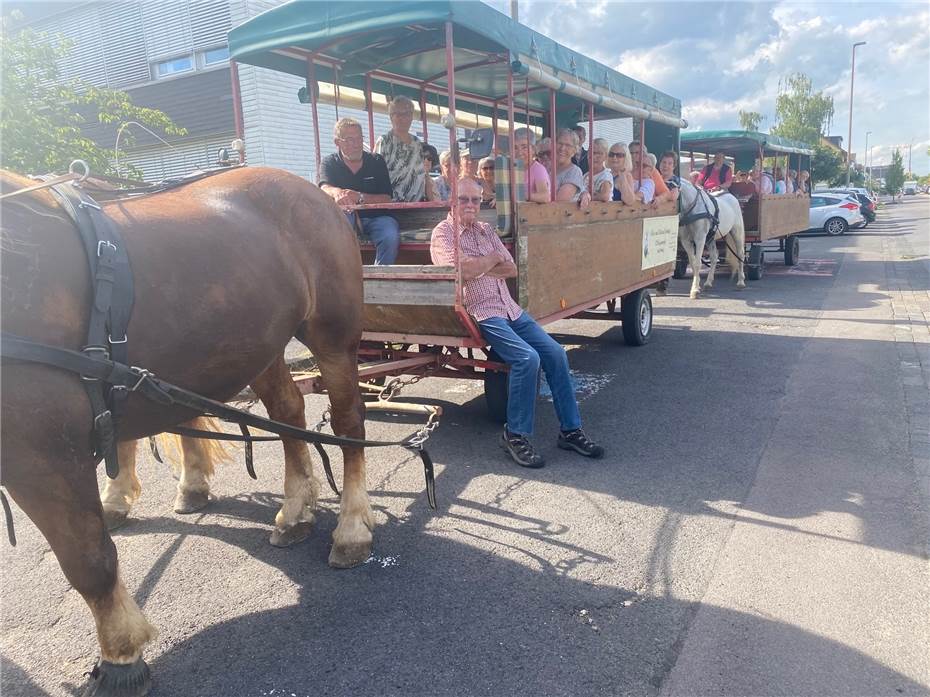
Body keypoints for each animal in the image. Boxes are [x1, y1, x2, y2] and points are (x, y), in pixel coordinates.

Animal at [3, 166, 376, 692]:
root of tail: (311, 190)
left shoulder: (40, 449)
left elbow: (88, 559)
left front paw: (121, 656)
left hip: (332, 333)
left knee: (347, 422)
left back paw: (351, 528)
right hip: (258, 341)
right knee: (288, 412)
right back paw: (295, 510)